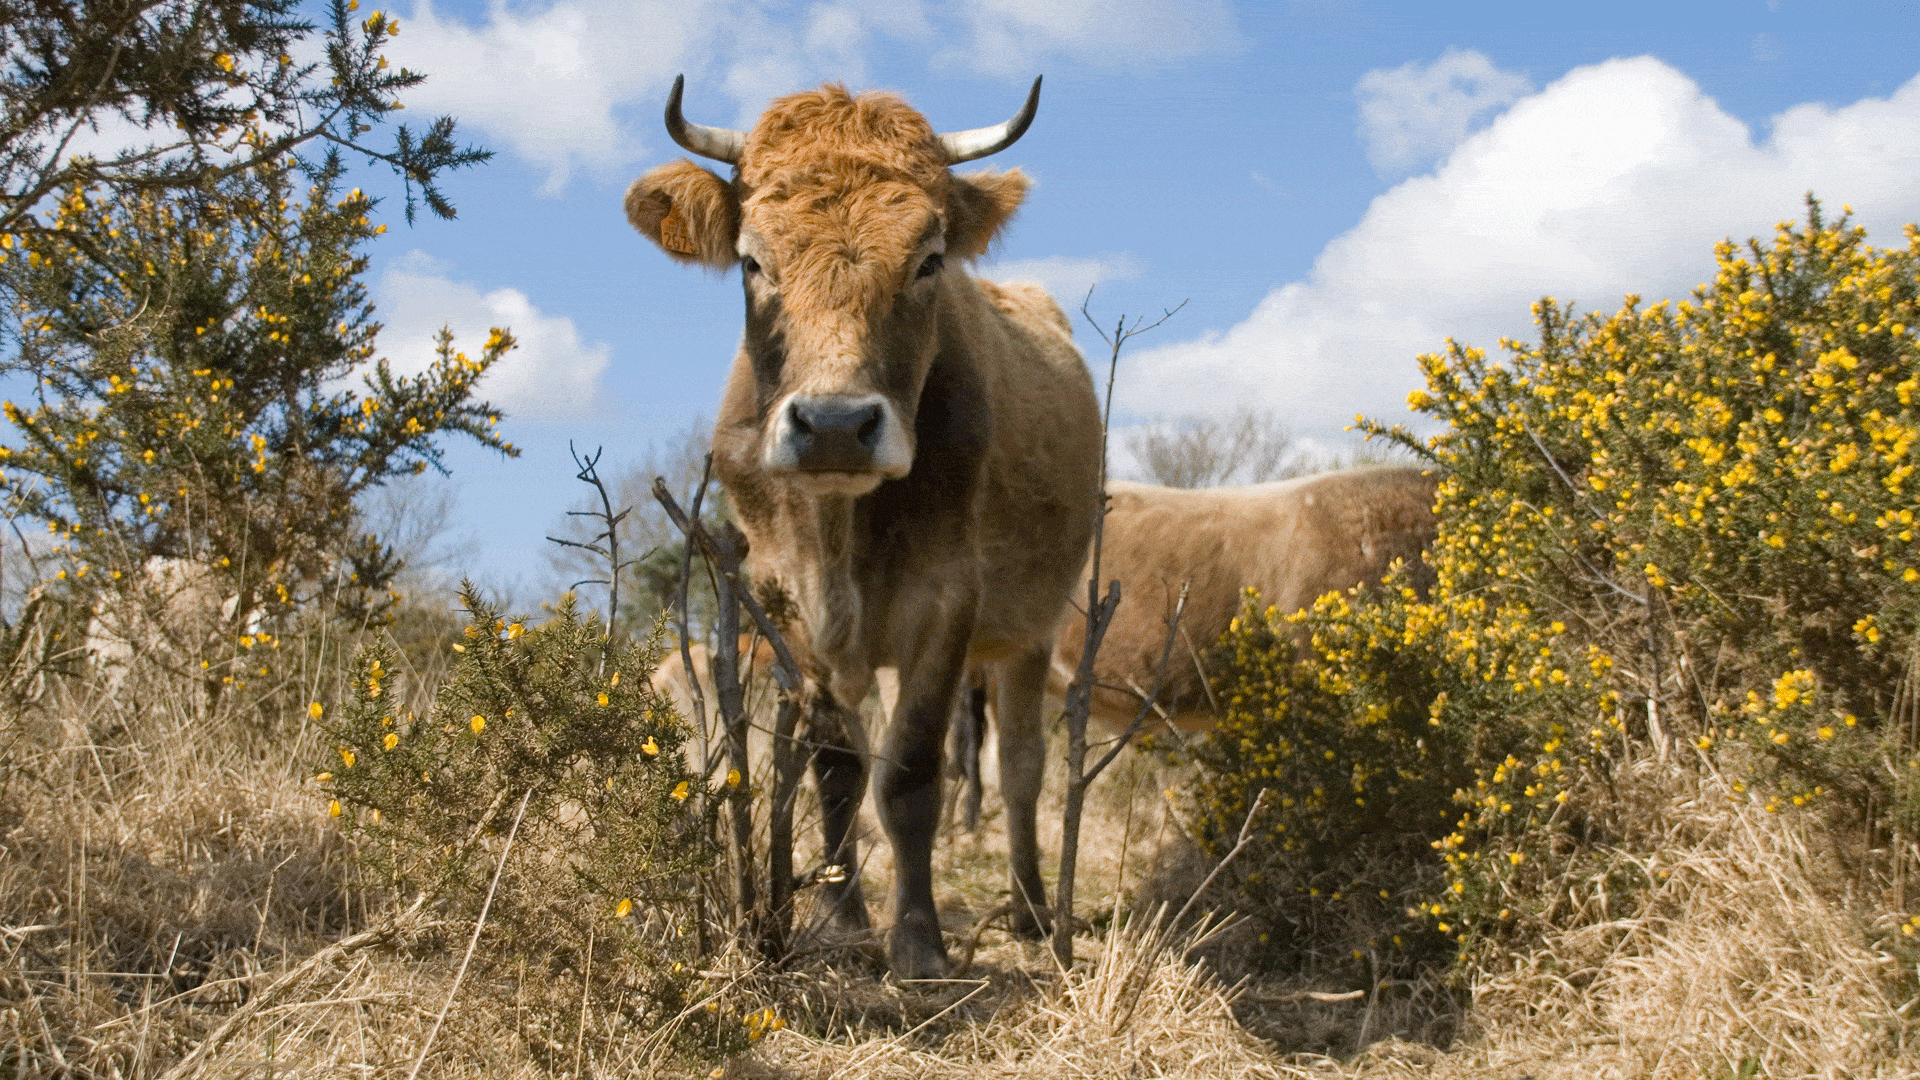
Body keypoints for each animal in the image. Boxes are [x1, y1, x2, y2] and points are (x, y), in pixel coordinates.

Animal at [629, 77, 1105, 976]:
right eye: (752, 260)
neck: (837, 530)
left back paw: (1031, 907)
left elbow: (910, 774)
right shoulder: (787, 606)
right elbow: (838, 772)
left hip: (1031, 628)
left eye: (929, 260)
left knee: (1024, 768)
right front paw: (843, 919)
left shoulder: (947, 603)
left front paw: (918, 941)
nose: (836, 425)